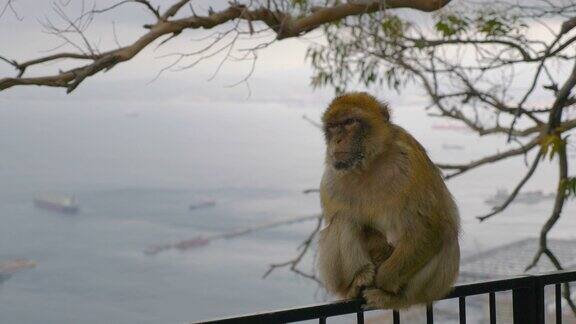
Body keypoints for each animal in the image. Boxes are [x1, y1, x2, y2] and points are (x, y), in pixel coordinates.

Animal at [316, 91, 460, 308]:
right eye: (332, 126)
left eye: (349, 122)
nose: (338, 139)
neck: (369, 164)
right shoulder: (332, 180)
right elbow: (360, 224)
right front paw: (379, 253)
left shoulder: (411, 161)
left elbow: (429, 227)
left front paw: (385, 279)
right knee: (343, 220)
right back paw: (358, 281)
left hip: (429, 288)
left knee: (445, 235)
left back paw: (392, 296)